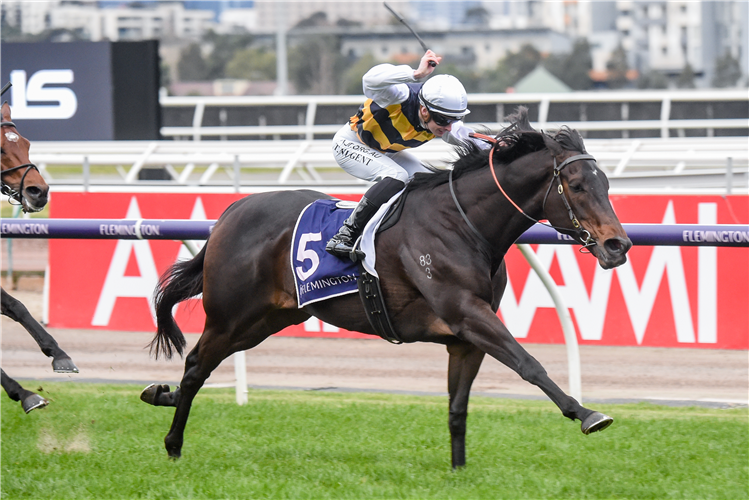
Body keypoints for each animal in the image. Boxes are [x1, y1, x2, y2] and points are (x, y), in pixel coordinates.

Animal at [142, 107, 632, 466]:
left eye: (606, 184)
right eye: (576, 185)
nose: (618, 245)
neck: (462, 223)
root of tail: (229, 213)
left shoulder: (465, 338)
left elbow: (458, 408)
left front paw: (459, 470)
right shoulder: (466, 313)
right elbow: (528, 364)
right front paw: (587, 413)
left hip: (268, 319)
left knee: (202, 366)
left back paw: (160, 394)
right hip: (230, 315)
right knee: (196, 367)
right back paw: (172, 443)